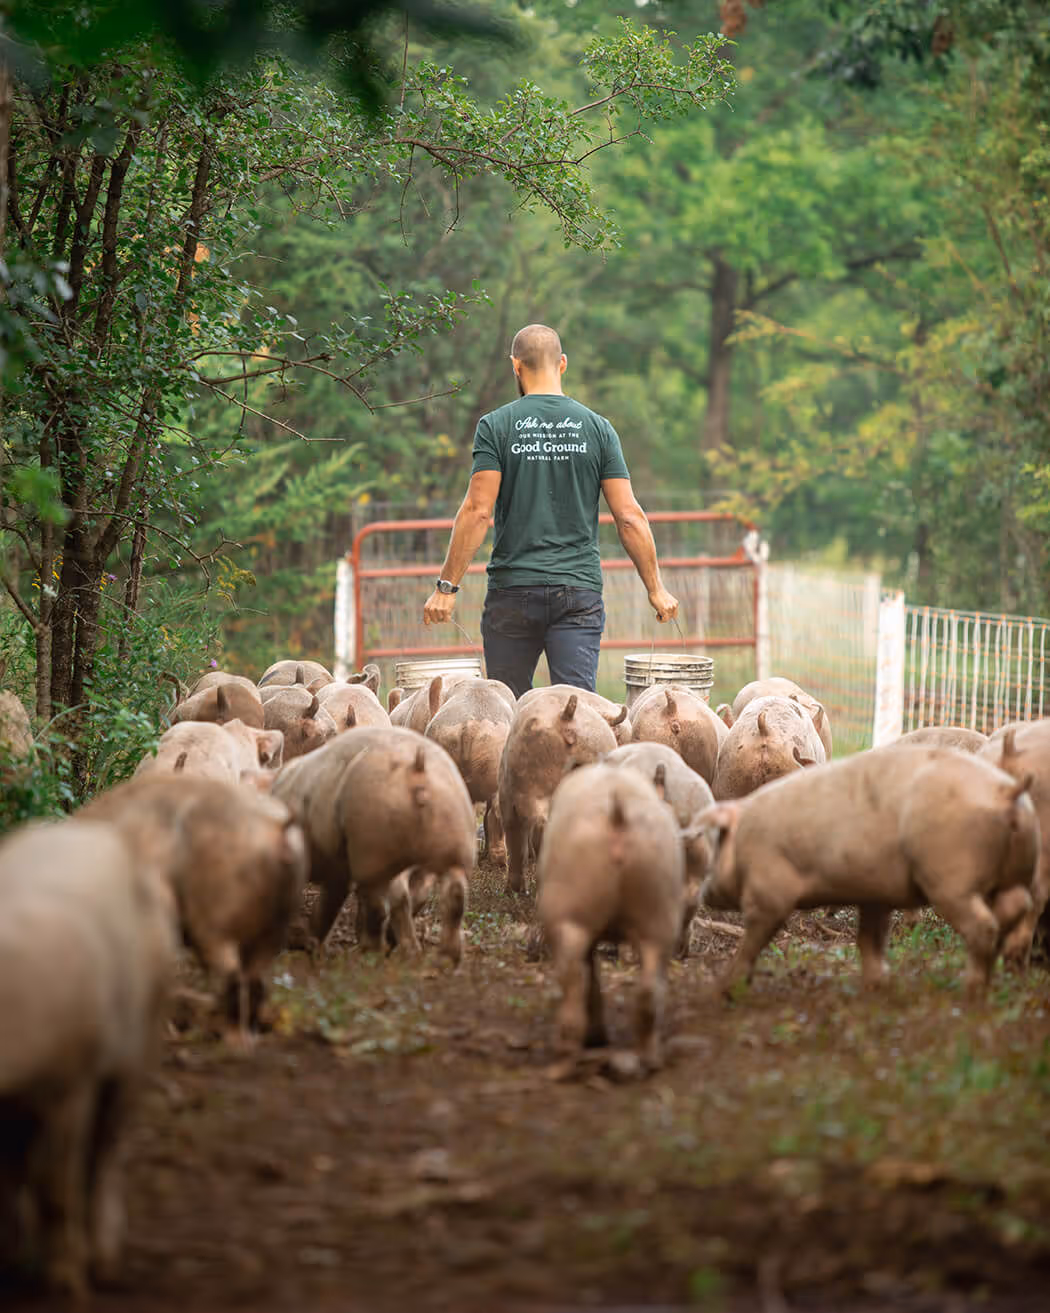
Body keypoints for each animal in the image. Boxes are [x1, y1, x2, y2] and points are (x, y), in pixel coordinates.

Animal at [0, 819, 176, 1295]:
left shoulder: (71, 1082)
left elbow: (56, 1183)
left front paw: (67, 1287)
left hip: (139, 1037)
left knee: (104, 1149)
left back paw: (104, 1268)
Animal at [272, 727, 475, 963]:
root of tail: (418, 771)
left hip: (374, 850)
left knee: (379, 905)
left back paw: (372, 952)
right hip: (453, 842)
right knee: (450, 896)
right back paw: (440, 956)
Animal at [538, 763, 684, 1068]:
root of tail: (617, 814)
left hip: (570, 908)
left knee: (573, 976)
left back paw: (570, 1052)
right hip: (658, 907)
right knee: (649, 987)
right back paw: (648, 1056)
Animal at [699, 746, 1040, 997]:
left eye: (717, 844)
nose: (706, 892)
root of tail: (1006, 791)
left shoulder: (769, 889)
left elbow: (752, 940)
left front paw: (722, 989)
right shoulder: (876, 895)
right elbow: (869, 939)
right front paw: (876, 986)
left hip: (951, 879)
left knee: (983, 925)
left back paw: (971, 991)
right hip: (1013, 874)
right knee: (1017, 906)